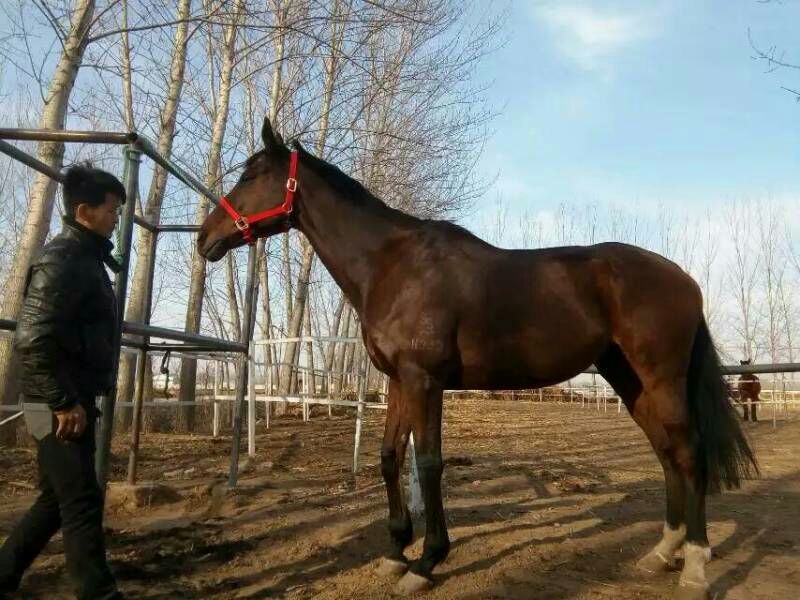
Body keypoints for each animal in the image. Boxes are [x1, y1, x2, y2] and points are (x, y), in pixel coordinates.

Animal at [197, 118, 757, 600]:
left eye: (252, 175)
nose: (205, 238)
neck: (393, 265)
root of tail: (684, 280)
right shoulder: (399, 381)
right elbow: (389, 457)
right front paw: (395, 552)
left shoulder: (424, 380)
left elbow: (428, 463)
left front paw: (427, 562)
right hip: (628, 381)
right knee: (666, 453)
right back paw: (662, 552)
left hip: (661, 378)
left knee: (688, 453)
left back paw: (695, 567)